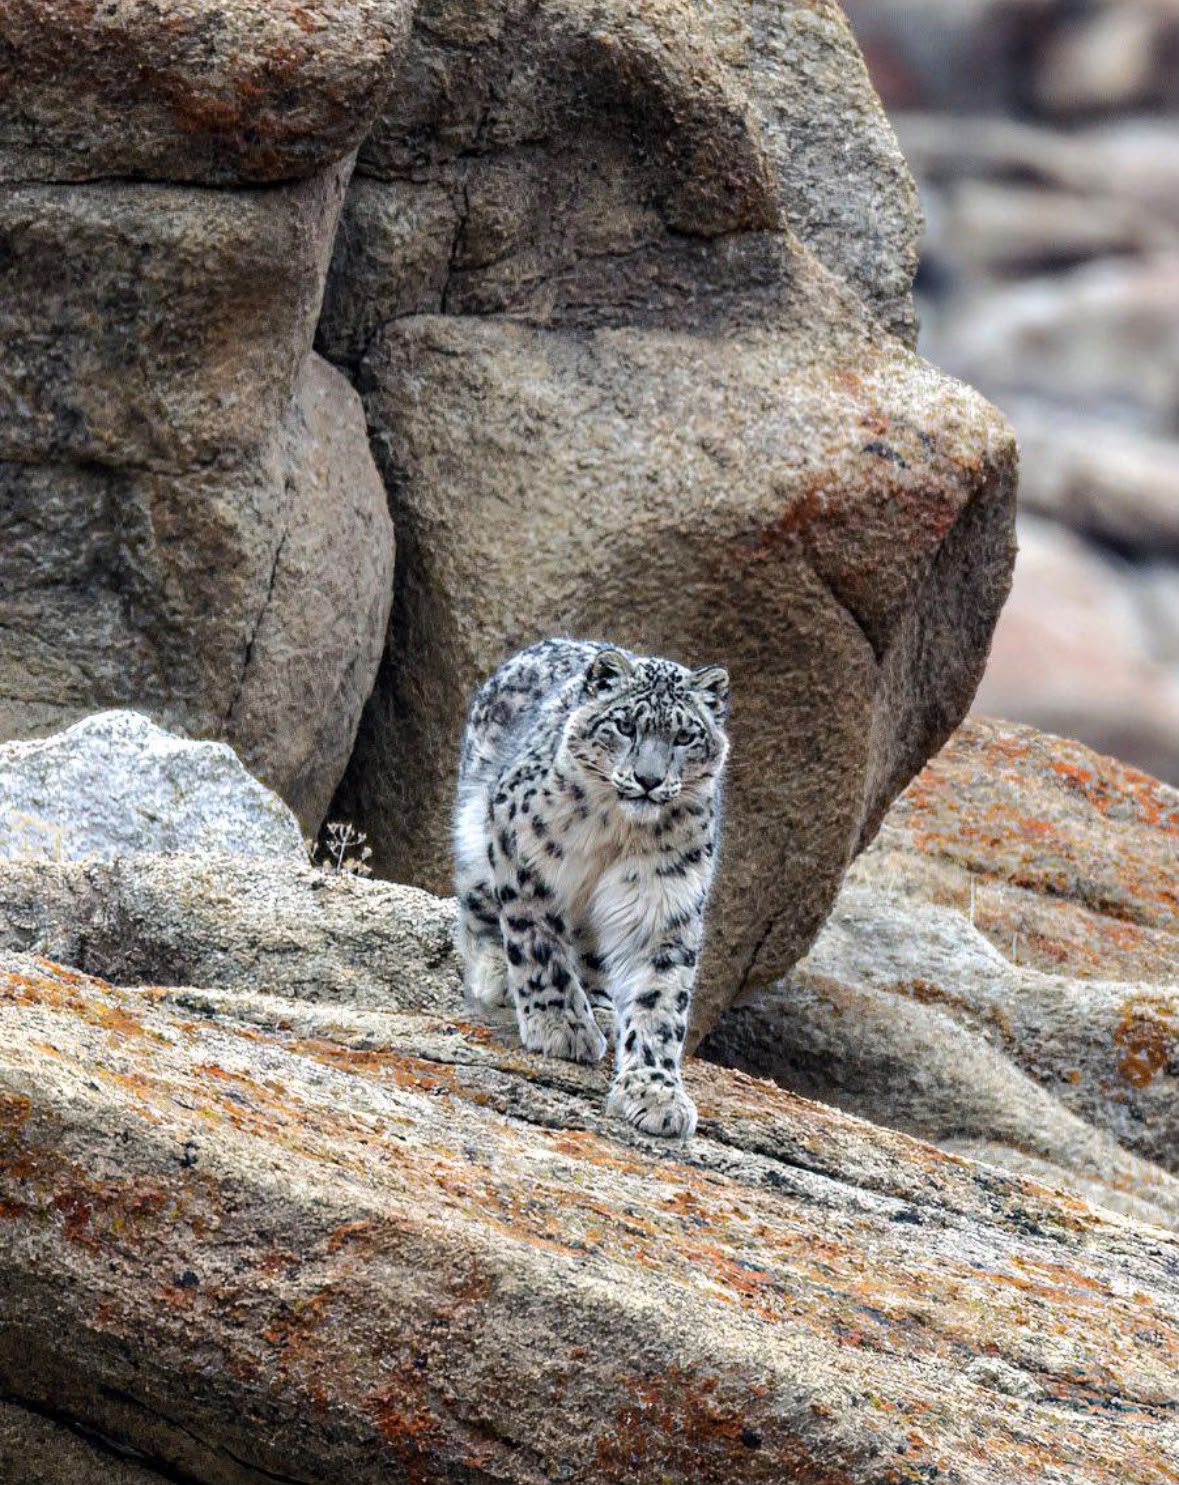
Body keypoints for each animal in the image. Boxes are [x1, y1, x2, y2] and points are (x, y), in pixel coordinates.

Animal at [454, 637, 730, 1138]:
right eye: (624, 725)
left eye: (684, 737)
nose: (648, 779)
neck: (617, 834)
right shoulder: (525, 855)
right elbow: (537, 941)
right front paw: (559, 1027)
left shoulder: (665, 899)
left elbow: (661, 997)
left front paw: (656, 1092)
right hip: (476, 835)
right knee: (480, 912)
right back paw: (498, 975)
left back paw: (601, 1007)